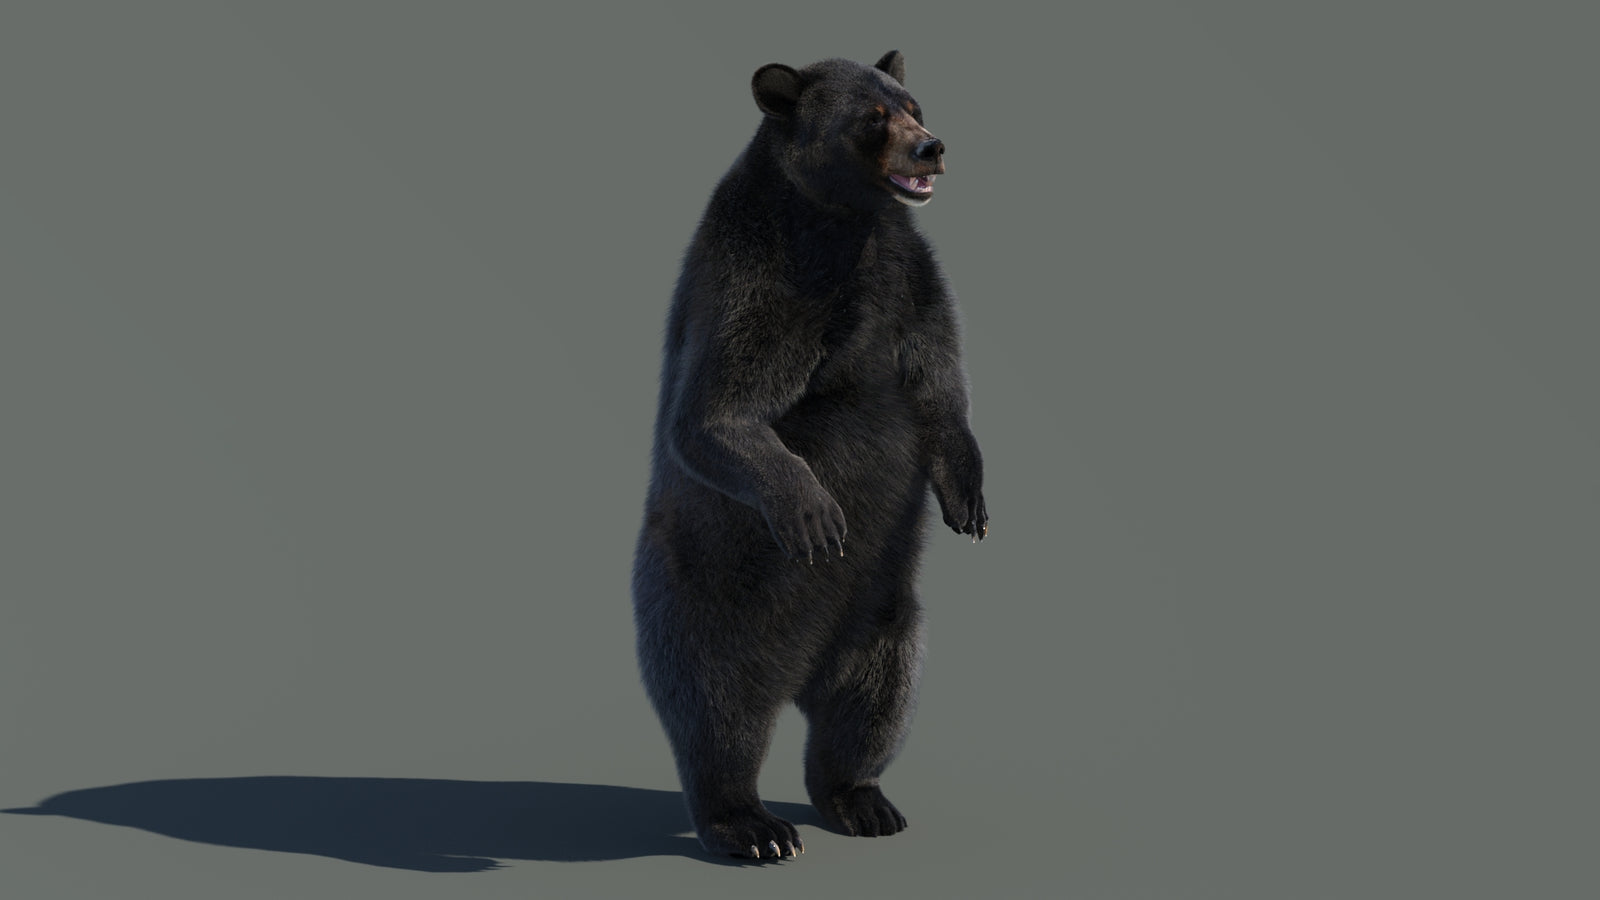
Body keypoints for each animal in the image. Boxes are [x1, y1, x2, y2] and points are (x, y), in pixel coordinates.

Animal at [631, 50, 987, 861]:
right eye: (873, 117)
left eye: (913, 104)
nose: (932, 147)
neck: (840, 221)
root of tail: (797, 672)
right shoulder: (762, 277)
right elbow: (716, 411)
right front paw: (816, 514)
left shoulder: (907, 274)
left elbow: (940, 381)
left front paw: (970, 501)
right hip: (705, 597)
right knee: (717, 707)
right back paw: (752, 826)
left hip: (883, 613)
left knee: (873, 697)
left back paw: (863, 800)